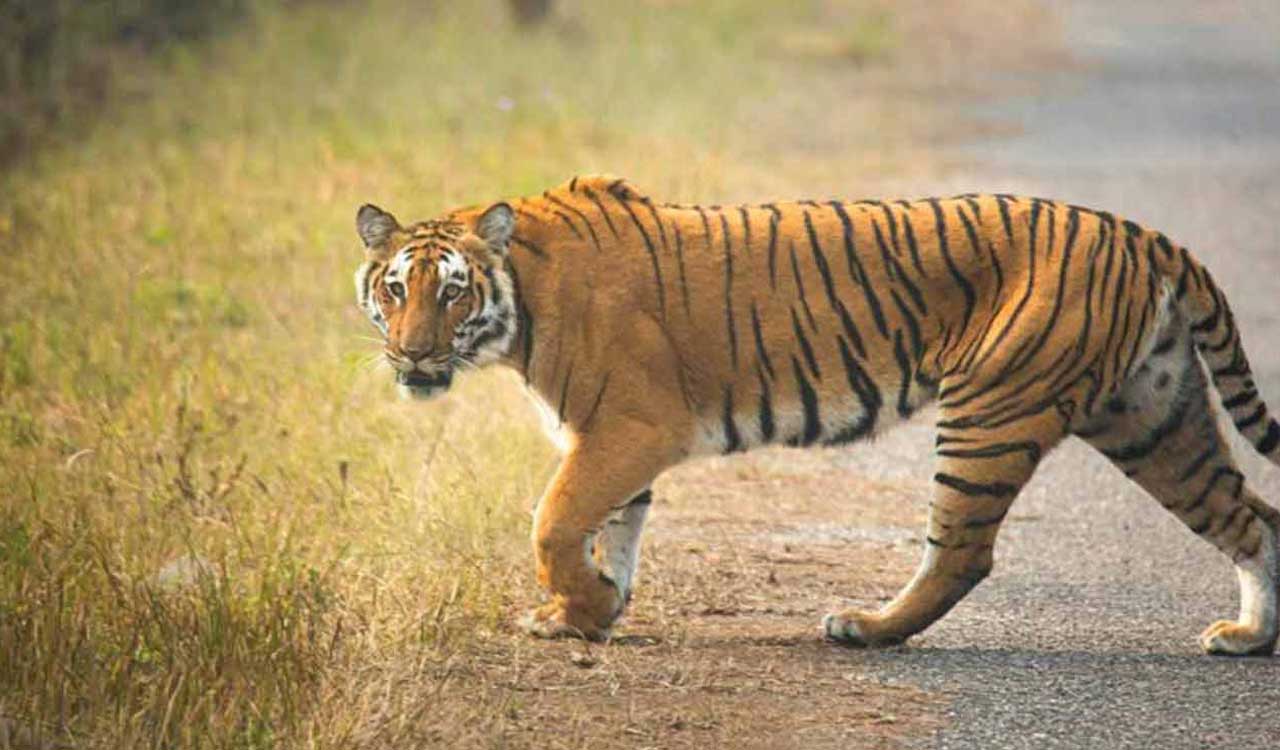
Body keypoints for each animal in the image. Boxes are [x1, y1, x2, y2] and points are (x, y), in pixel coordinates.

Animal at [352, 175, 1280, 655]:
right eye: (394, 289)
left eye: (451, 291)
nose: (411, 356)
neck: (521, 304)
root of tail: (1141, 233)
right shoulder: (607, 440)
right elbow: (610, 528)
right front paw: (592, 613)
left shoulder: (629, 429)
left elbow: (553, 521)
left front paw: (575, 609)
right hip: (1152, 417)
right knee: (1253, 516)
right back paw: (1247, 636)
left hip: (992, 413)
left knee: (963, 552)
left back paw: (865, 628)